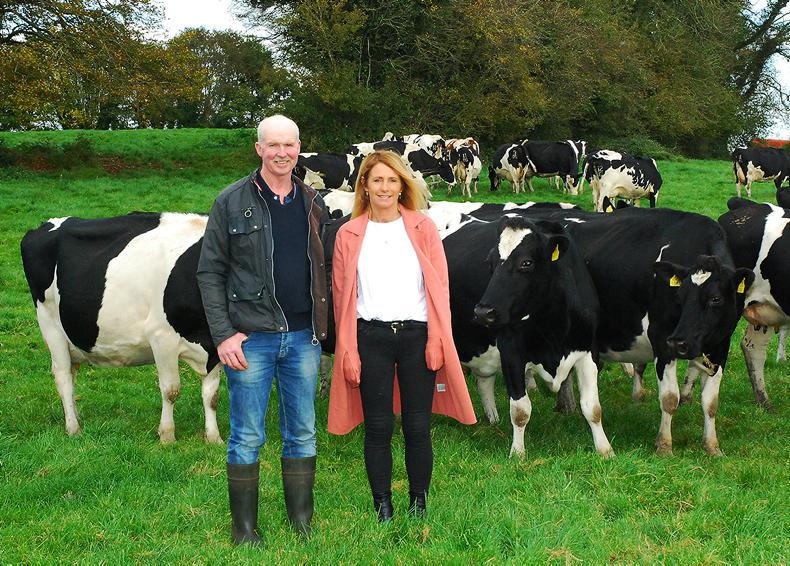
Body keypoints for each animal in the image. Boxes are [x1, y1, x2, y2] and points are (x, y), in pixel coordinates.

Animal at [20, 213, 223, 444]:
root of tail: (45, 224)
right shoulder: (162, 336)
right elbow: (171, 390)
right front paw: (167, 436)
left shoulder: (214, 345)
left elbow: (211, 395)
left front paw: (214, 437)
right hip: (50, 325)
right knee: (62, 376)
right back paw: (73, 428)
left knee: (71, 374)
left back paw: (75, 417)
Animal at [471, 216, 614, 458]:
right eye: (490, 262)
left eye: (526, 263)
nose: (483, 312)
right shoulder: (511, 351)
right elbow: (520, 410)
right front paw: (518, 454)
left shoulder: (588, 352)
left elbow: (593, 407)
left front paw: (605, 450)